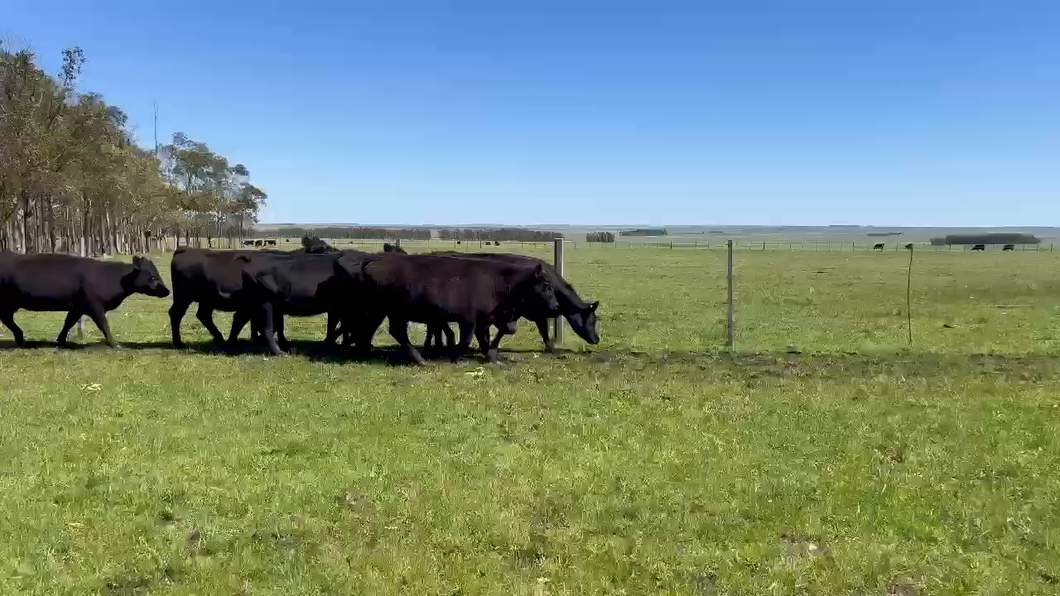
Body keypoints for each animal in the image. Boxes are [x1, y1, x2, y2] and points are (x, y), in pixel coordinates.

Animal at [1, 251, 169, 345]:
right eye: (153, 277)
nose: (167, 291)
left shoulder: (78, 307)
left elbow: (69, 322)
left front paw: (61, 341)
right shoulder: (95, 305)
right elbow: (104, 325)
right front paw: (115, 344)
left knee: (6, 318)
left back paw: (20, 338)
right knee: (6, 318)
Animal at [334, 250, 559, 362]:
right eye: (546, 285)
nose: (556, 307)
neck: (499, 281)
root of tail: (372, 260)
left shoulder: (482, 320)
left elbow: (484, 340)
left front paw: (493, 358)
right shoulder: (468, 320)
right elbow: (466, 340)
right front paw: (455, 357)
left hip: (382, 311)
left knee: (373, 329)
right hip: (392, 311)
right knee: (393, 331)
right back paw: (419, 360)